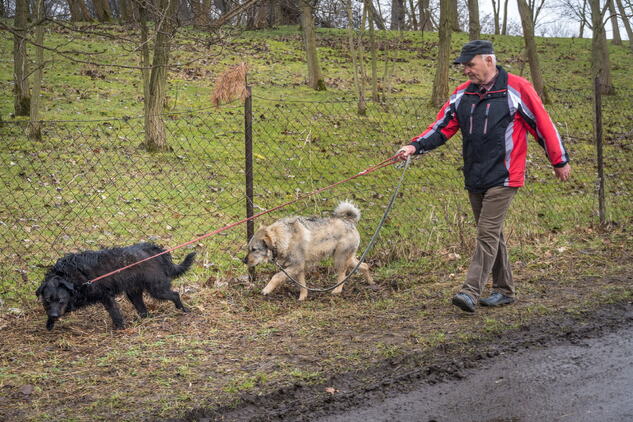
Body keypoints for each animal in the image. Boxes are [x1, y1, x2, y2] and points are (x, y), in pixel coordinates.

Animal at [36, 242, 195, 332]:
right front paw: (49, 323)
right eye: (47, 301)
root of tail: (153, 249)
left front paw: (120, 328)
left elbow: (115, 313)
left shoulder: (105, 296)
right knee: (143, 309)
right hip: (134, 292)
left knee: (175, 294)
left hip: (157, 289)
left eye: (61, 300)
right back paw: (144, 318)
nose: (54, 315)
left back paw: (183, 309)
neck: (68, 275)